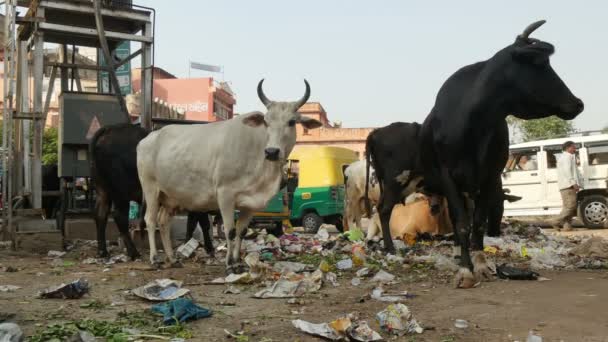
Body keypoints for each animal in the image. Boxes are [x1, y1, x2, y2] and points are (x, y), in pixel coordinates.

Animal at [137, 79, 324, 272]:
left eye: (292, 122)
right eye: (266, 122)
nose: (272, 152)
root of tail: (148, 138)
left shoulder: (250, 203)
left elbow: (242, 231)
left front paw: (238, 261)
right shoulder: (225, 194)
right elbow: (230, 230)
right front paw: (229, 263)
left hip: (170, 197)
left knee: (164, 222)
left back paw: (172, 258)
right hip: (150, 188)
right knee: (150, 220)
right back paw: (154, 258)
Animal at [418, 19, 584, 286]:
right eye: (539, 64)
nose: (577, 103)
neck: (475, 123)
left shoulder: (490, 176)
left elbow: (478, 223)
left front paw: (481, 265)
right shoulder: (448, 176)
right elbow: (461, 223)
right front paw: (465, 270)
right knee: (455, 220)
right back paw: (456, 253)